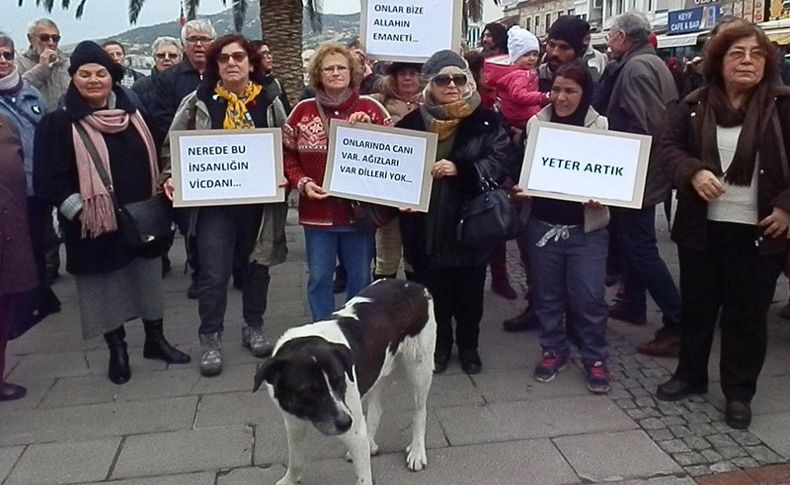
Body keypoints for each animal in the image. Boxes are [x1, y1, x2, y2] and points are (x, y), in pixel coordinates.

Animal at [254, 278, 436, 484]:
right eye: (307, 391)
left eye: (339, 380)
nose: (345, 422)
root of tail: (414, 285)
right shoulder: (293, 423)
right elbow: (296, 459)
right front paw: (290, 480)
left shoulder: (353, 428)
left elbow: (363, 478)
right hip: (378, 368)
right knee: (376, 410)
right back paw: (370, 443)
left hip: (419, 368)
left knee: (420, 412)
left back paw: (417, 452)